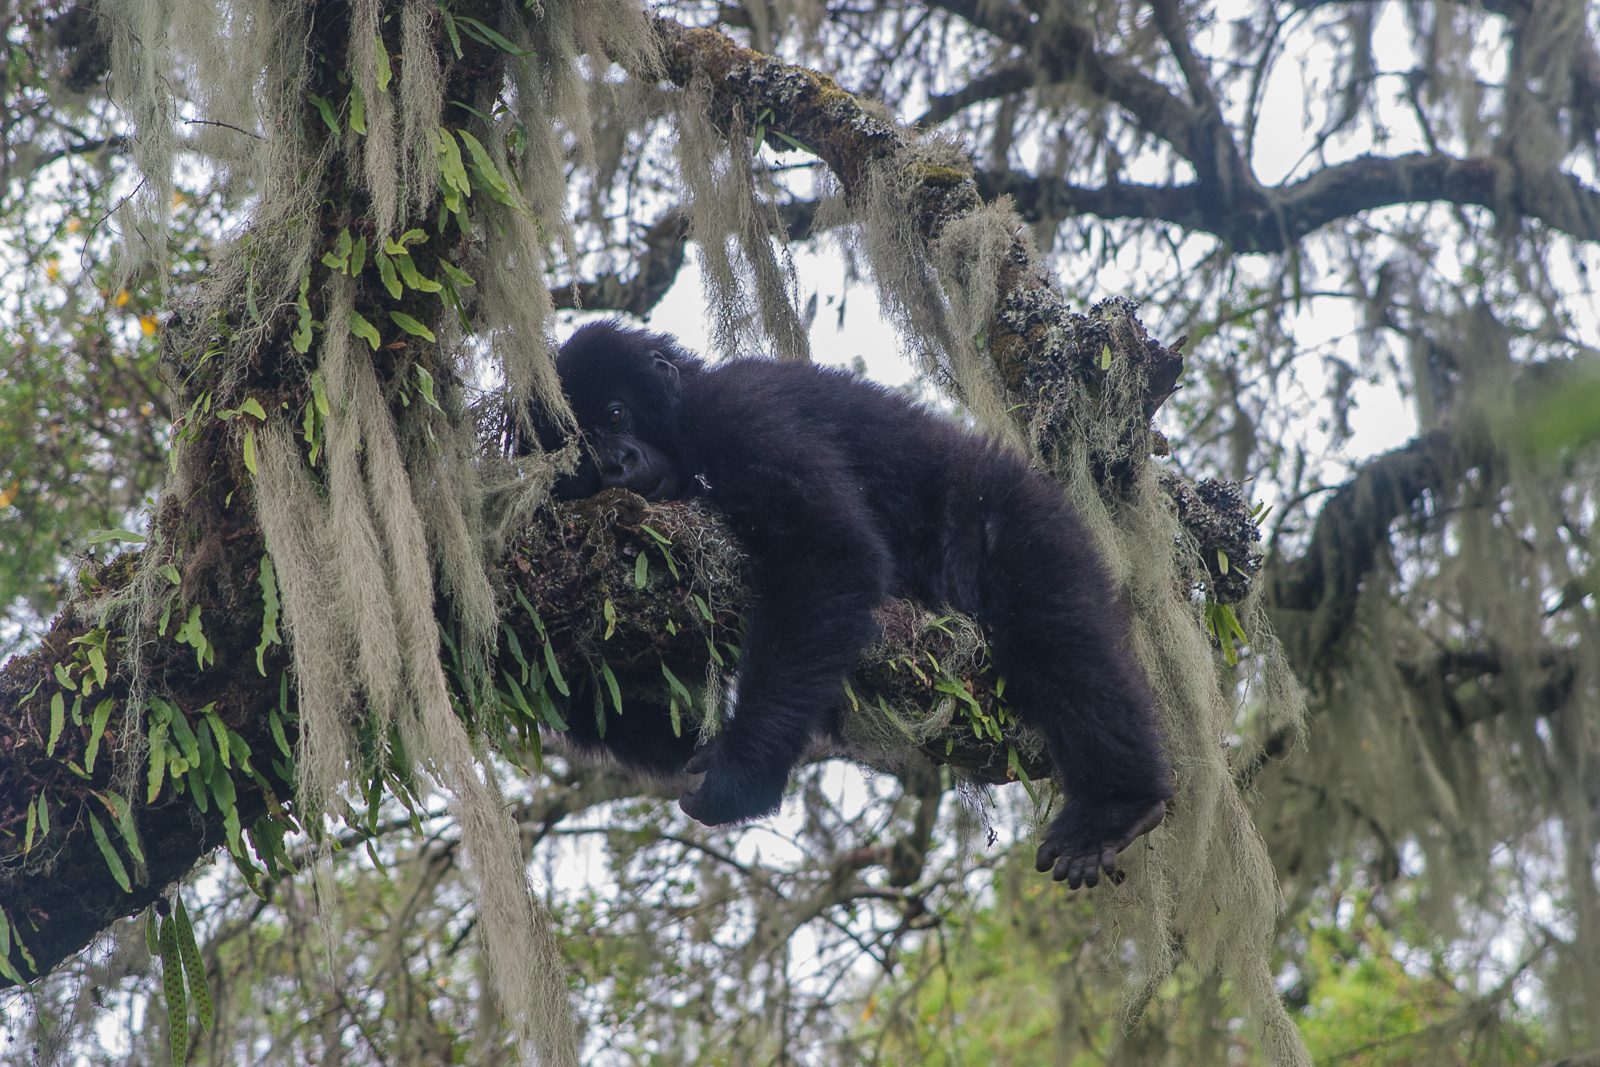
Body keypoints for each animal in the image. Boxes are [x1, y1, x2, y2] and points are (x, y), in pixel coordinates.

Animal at [544, 321, 1171, 889]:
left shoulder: (735, 411)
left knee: (1062, 643)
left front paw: (742, 775)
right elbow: (653, 725)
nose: (617, 462)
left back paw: (1116, 805)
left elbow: (826, 548)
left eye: (616, 416)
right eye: (583, 448)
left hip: (1030, 524)